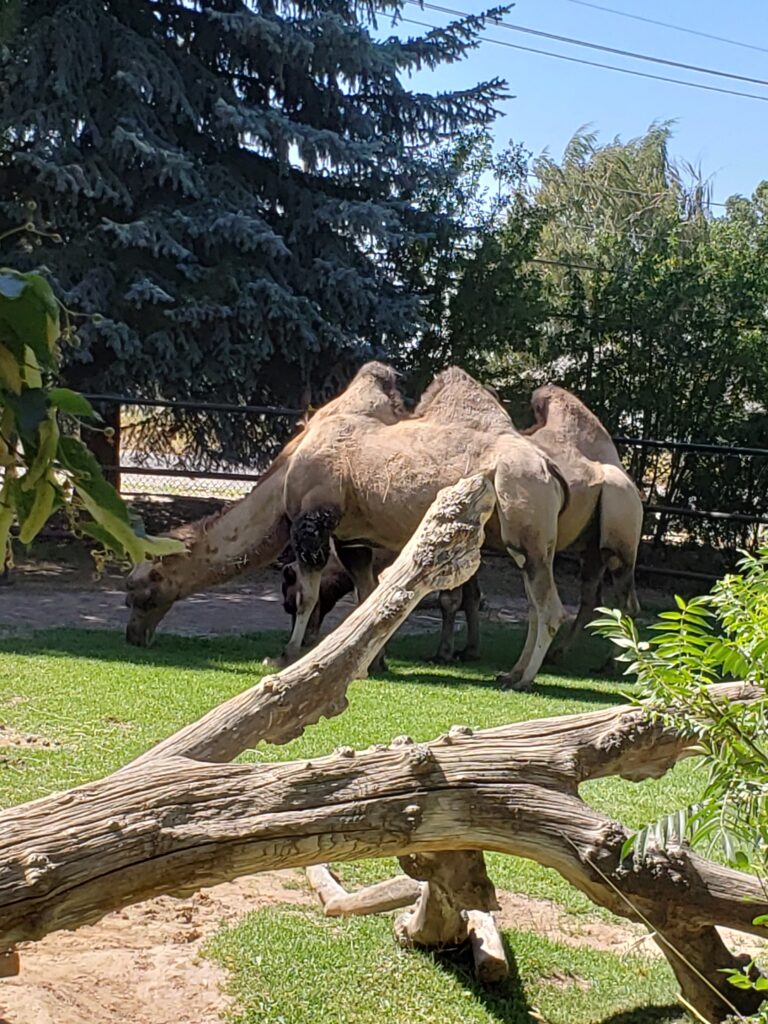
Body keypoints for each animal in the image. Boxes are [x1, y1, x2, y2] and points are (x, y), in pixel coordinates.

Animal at [126, 360, 569, 688]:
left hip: (525, 523)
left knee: (548, 607)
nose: (133, 637)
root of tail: (549, 468)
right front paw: (372, 663)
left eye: (139, 592)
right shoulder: (352, 539)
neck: (286, 475)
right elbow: (366, 598)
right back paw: (510, 671)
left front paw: (285, 655)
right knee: (534, 604)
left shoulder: (313, 522)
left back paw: (521, 679)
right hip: (528, 539)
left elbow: (308, 596)